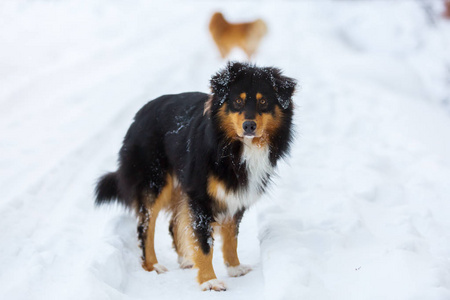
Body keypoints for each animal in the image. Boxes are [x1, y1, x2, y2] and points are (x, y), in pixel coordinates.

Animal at [95, 61, 296, 290]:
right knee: (145, 226)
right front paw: (209, 281)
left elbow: (231, 236)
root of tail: (139, 115)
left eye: (263, 102)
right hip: (155, 181)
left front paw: (235, 268)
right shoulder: (200, 196)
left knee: (173, 223)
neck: (234, 147)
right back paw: (153, 265)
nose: (249, 126)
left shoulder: (236, 194)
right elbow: (204, 242)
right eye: (237, 101)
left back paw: (186, 259)